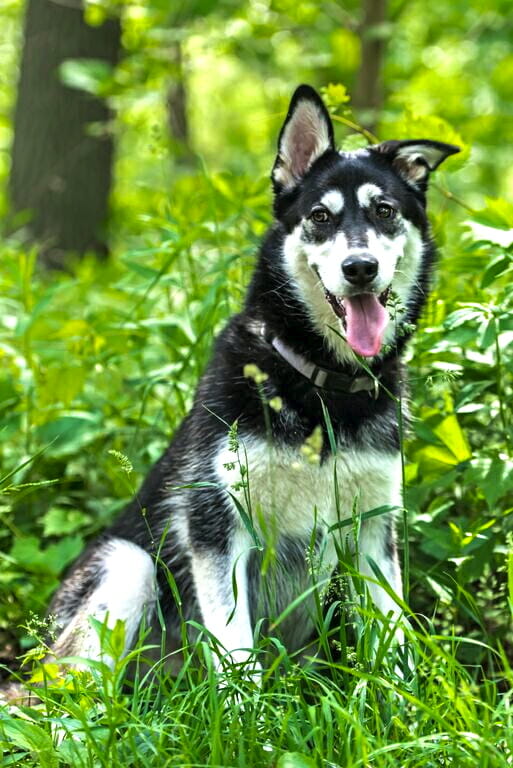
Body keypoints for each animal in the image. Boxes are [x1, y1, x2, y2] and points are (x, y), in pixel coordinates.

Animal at [39, 87, 460, 680]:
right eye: (320, 216)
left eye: (384, 211)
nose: (360, 267)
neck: (319, 387)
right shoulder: (218, 527)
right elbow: (237, 654)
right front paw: (248, 709)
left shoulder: (375, 530)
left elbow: (395, 644)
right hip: (129, 566)